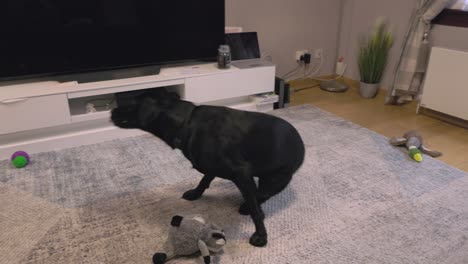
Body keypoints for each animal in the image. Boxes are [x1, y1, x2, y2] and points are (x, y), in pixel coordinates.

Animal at [111, 90, 306, 248]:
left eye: (129, 105)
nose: (111, 112)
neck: (187, 123)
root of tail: (301, 144)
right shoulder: (211, 166)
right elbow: (204, 179)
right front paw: (195, 193)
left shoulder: (242, 173)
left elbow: (255, 212)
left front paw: (261, 235)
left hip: (274, 179)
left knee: (262, 195)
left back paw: (249, 206)